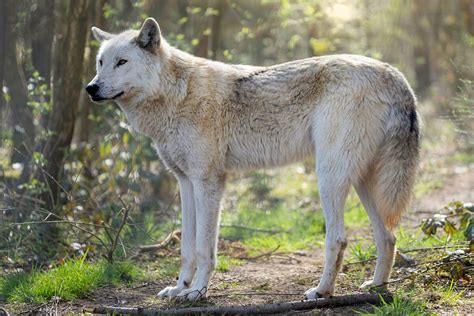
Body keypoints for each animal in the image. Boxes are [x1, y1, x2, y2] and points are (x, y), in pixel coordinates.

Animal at [87, 17, 420, 302]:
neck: (176, 95)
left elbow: (205, 248)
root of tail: (395, 75)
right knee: (388, 237)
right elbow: (186, 248)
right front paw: (180, 288)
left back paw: (322, 292)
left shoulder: (208, 182)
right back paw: (376, 287)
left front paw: (197, 292)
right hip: (363, 184)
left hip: (328, 178)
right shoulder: (185, 182)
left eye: (122, 62)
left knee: (338, 239)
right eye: (101, 62)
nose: (91, 88)